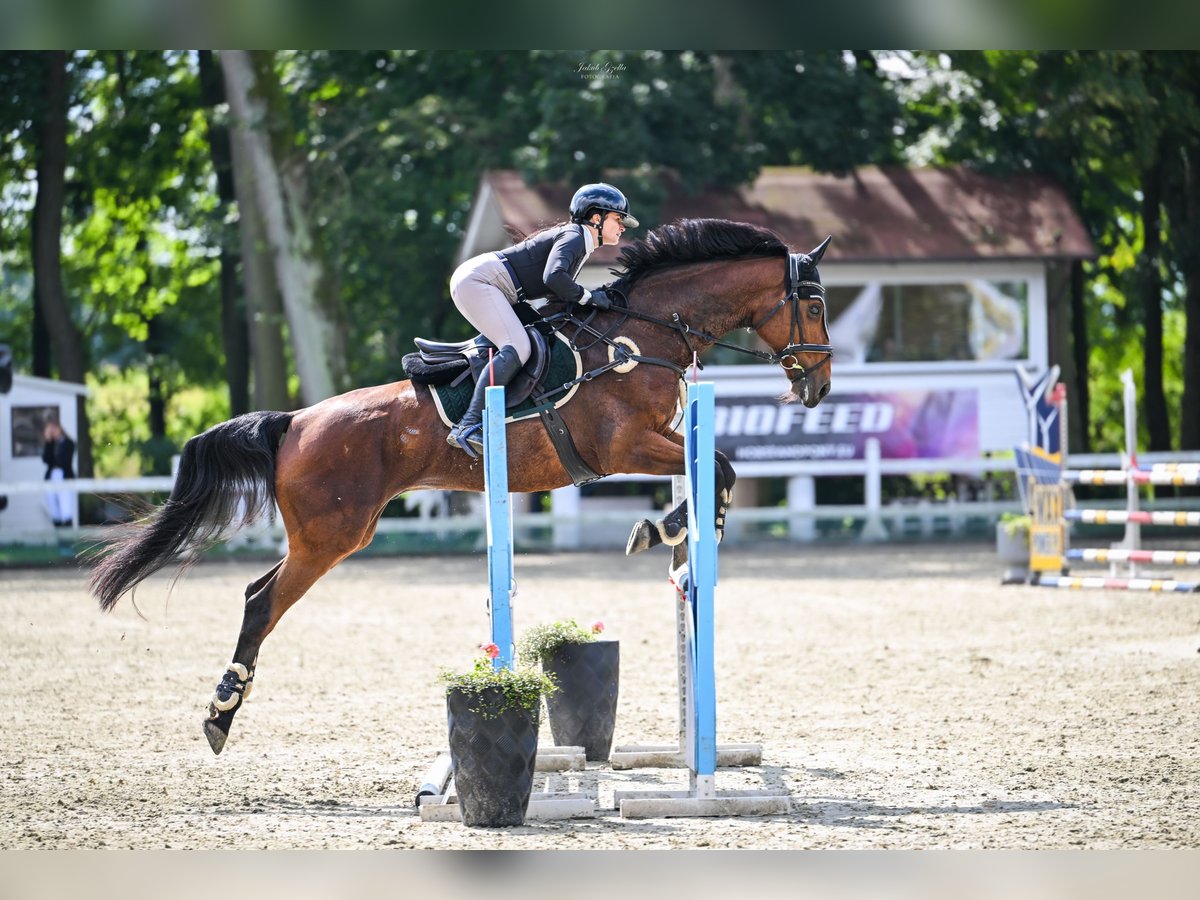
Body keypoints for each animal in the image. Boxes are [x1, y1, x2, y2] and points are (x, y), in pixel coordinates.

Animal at [87, 217, 833, 755]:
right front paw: (667, 527)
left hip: (335, 531)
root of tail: (295, 420)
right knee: (261, 602)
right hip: (332, 535)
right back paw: (220, 715)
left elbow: (718, 466)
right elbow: (723, 465)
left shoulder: (653, 442)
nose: (819, 387)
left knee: (257, 594)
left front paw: (675, 529)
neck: (637, 337)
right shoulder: (623, 447)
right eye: (817, 306)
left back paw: (220, 712)